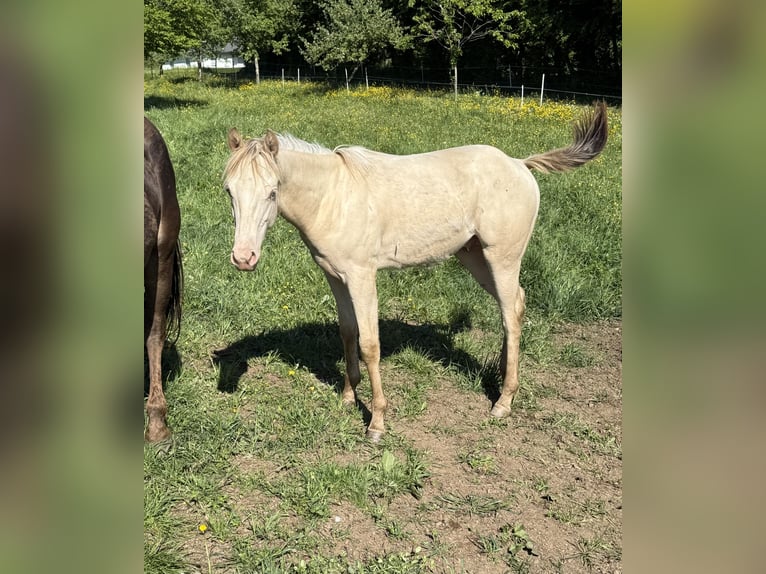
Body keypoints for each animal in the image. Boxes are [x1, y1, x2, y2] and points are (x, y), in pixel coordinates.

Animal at [223, 102, 608, 441]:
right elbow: (347, 333)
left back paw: (504, 401)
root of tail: (519, 164)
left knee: (511, 315)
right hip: (475, 258)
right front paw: (347, 397)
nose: (244, 258)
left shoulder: (362, 277)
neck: (334, 197)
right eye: (229, 191)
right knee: (514, 305)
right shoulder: (335, 277)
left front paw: (377, 423)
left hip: (502, 258)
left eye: (272, 192)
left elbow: (370, 344)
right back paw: (501, 375)